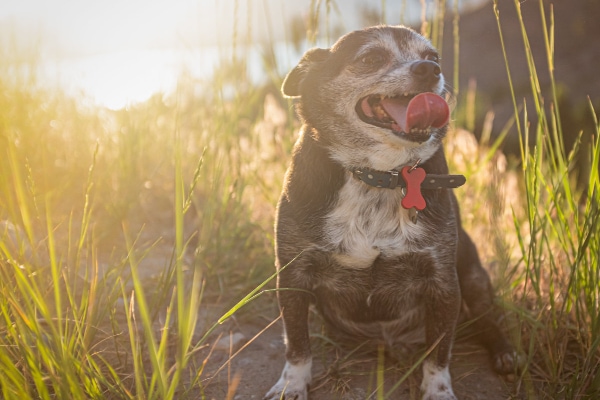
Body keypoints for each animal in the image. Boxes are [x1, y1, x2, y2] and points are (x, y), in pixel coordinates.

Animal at [264, 25, 516, 400]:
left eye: (433, 57)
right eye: (371, 58)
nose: (429, 70)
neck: (380, 175)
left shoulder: (443, 283)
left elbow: (439, 352)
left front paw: (438, 390)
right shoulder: (293, 276)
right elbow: (296, 343)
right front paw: (292, 384)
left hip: (472, 275)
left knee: (487, 319)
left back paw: (504, 352)